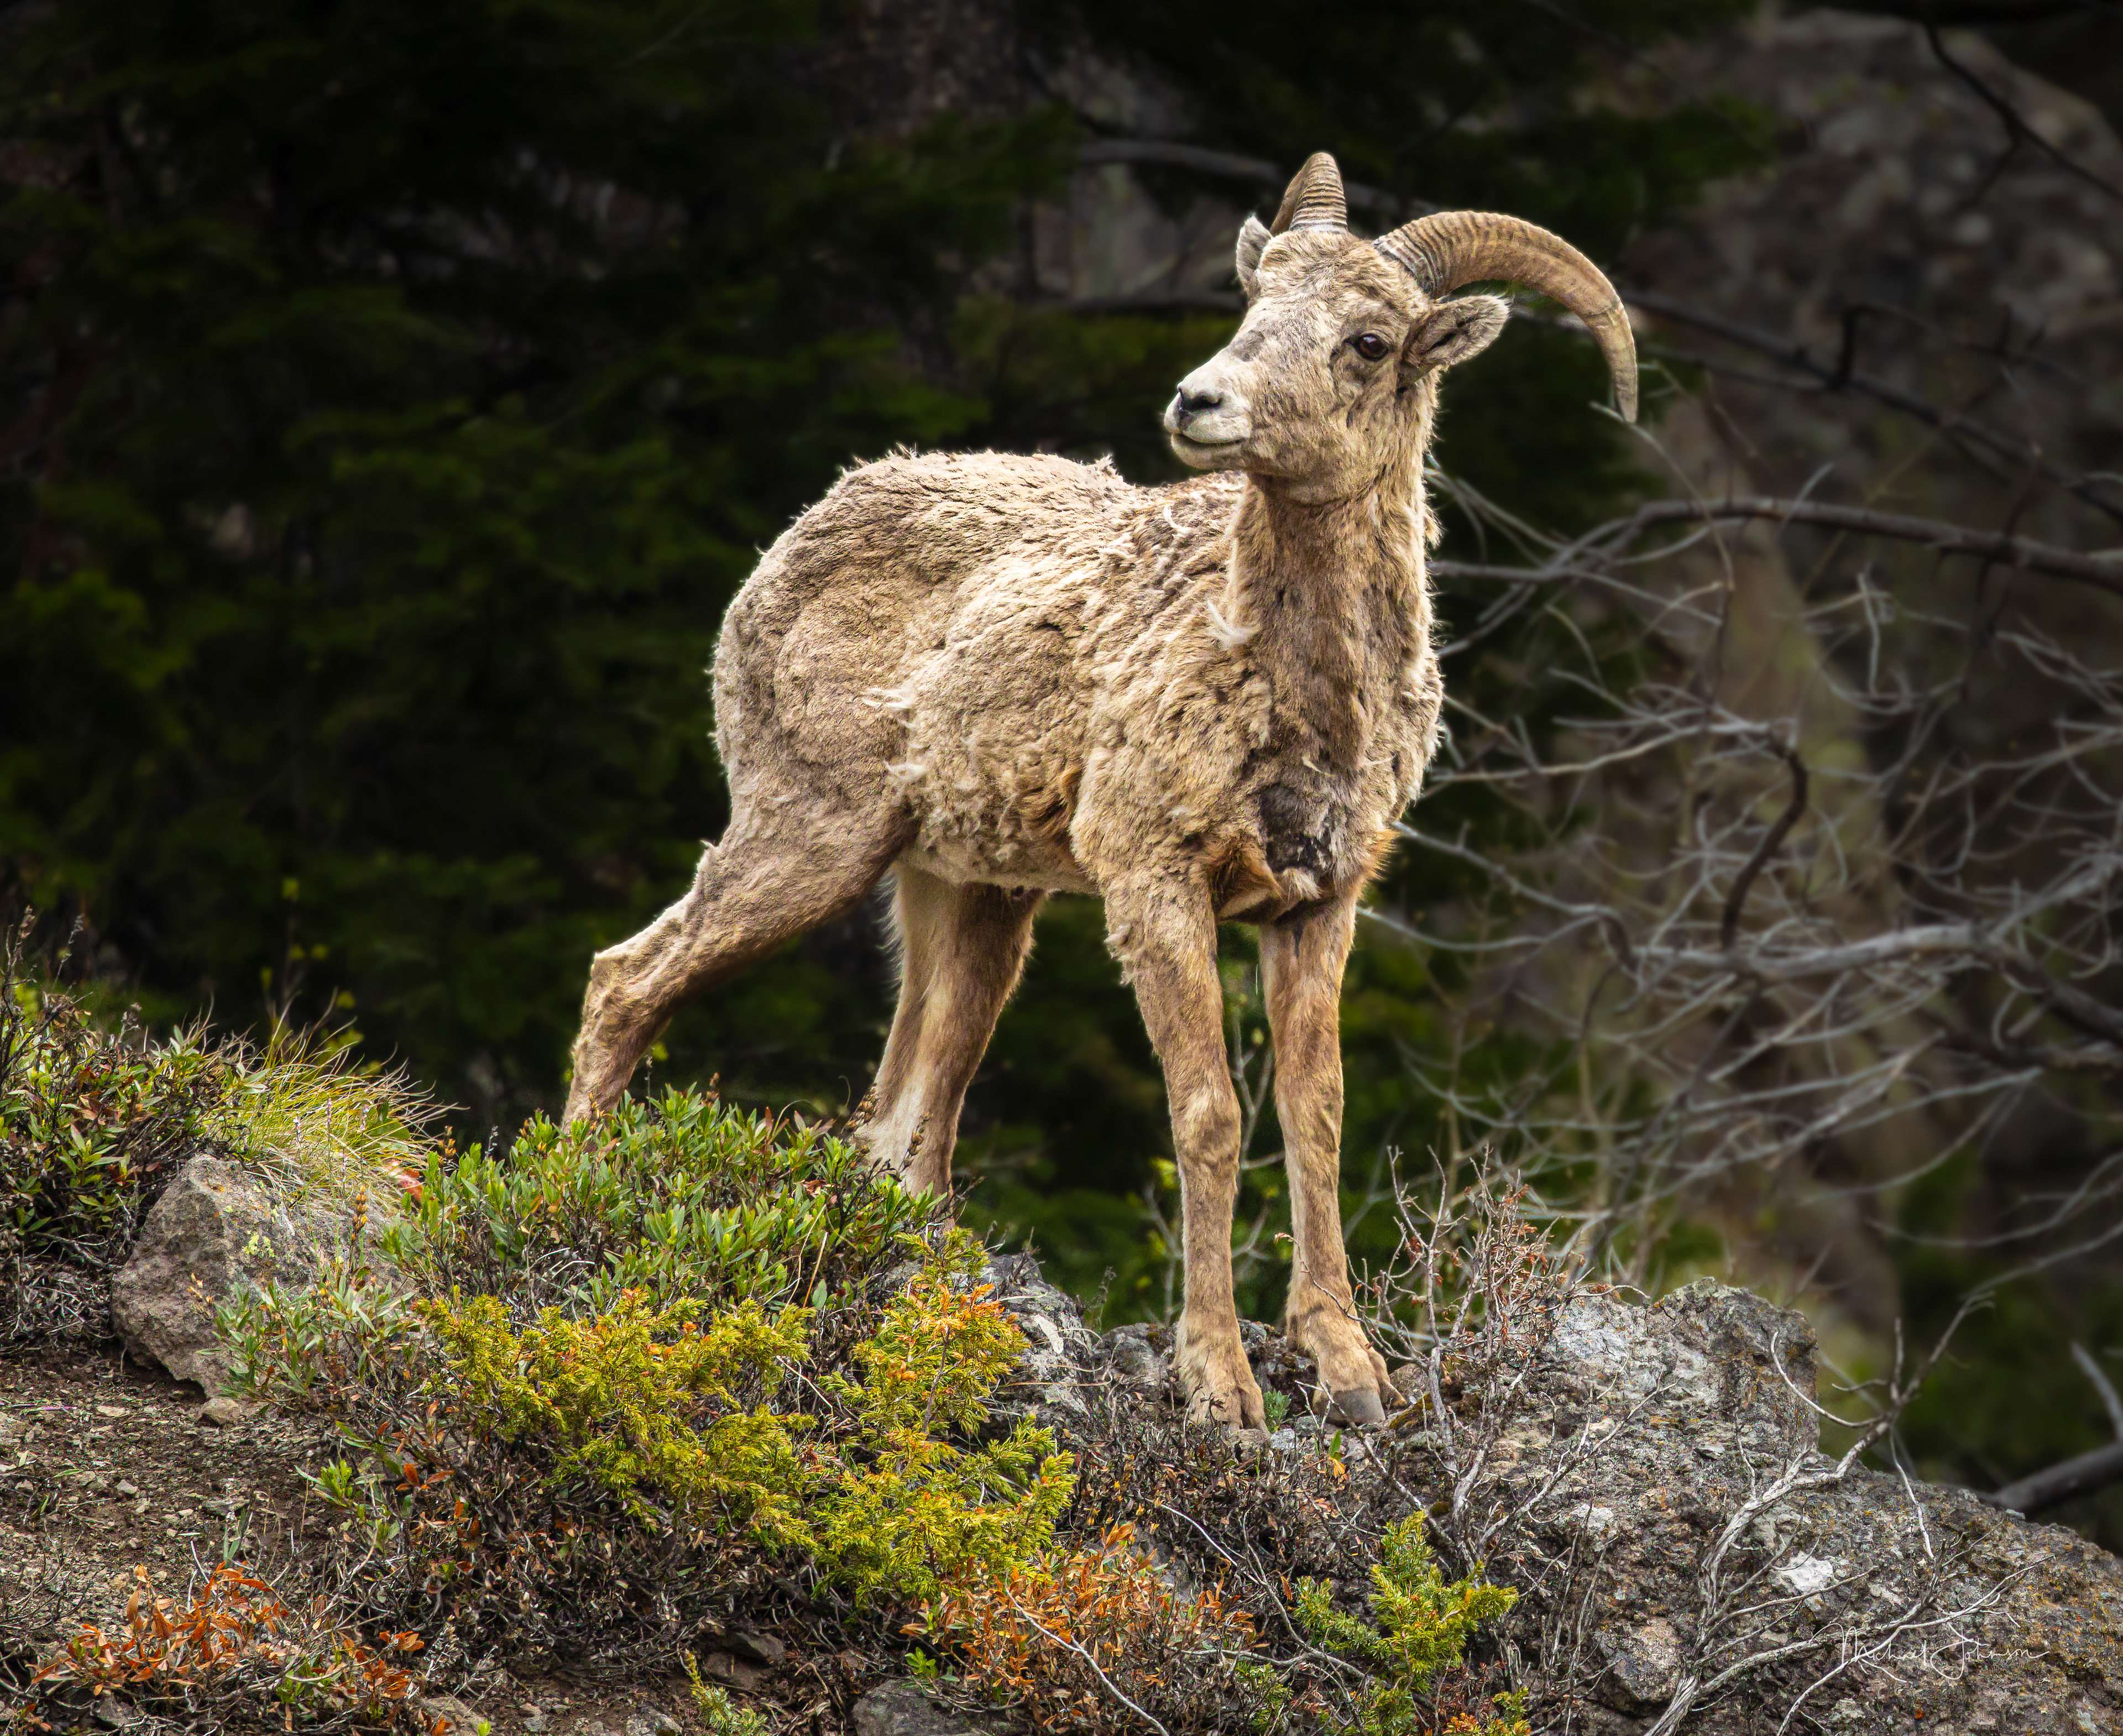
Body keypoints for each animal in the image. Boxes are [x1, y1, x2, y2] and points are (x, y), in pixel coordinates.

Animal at [563, 152, 1636, 1431]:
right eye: (1255, 295)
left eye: (1371, 341)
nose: (1198, 403)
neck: (1290, 695)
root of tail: (794, 540)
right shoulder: (1154, 881)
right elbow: (1211, 1114)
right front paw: (1221, 1385)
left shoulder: (1318, 906)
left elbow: (1315, 1113)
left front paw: (1351, 1370)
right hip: (809, 834)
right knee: (630, 979)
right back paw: (571, 1193)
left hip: (969, 896)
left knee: (904, 1110)